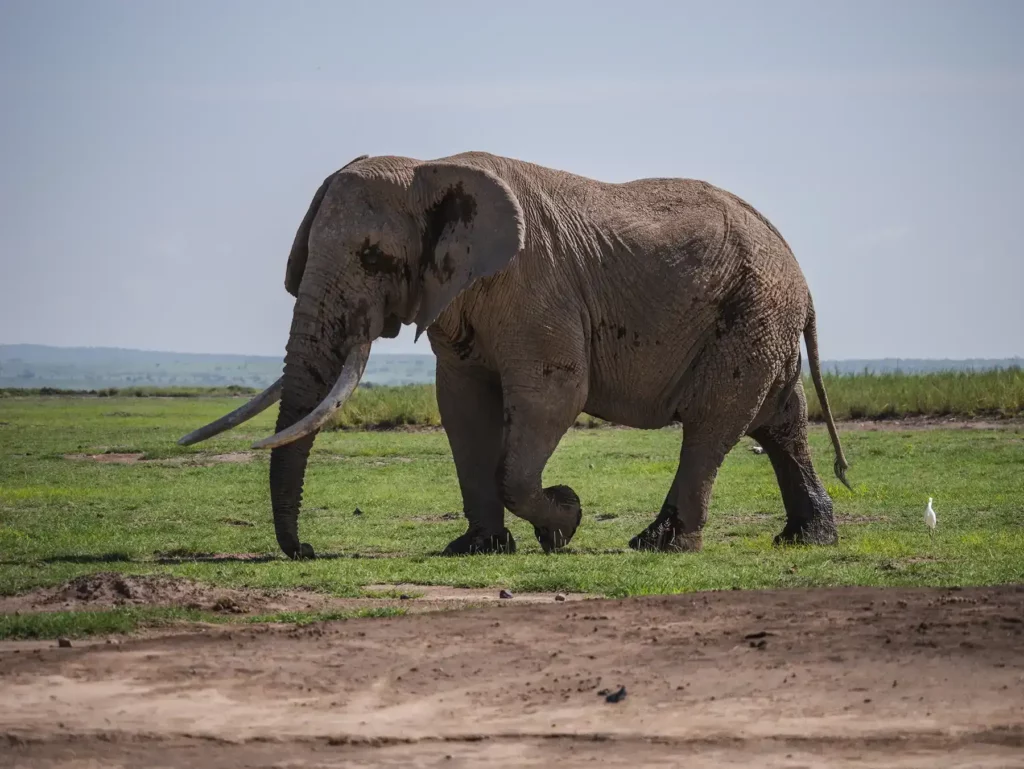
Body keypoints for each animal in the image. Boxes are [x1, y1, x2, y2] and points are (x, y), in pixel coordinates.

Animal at [178, 151, 850, 559]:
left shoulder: (534, 287)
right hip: (759, 317)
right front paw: (477, 548)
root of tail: (797, 266)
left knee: (713, 424)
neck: (429, 169)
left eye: (373, 258)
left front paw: (566, 520)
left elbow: (555, 395)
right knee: (778, 419)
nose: (308, 551)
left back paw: (658, 544)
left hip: (751, 311)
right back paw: (807, 538)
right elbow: (462, 406)